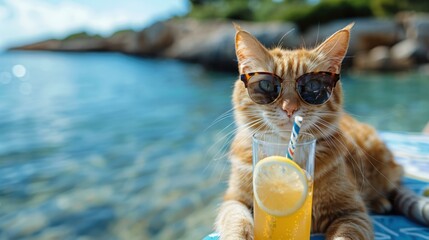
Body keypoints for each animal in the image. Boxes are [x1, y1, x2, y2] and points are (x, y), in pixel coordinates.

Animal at [214, 24, 428, 240]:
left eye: (313, 86)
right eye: (266, 85)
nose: (289, 108)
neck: (283, 148)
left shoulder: (353, 213)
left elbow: (345, 234)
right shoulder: (233, 200)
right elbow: (236, 222)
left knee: (391, 185)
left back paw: (379, 201)